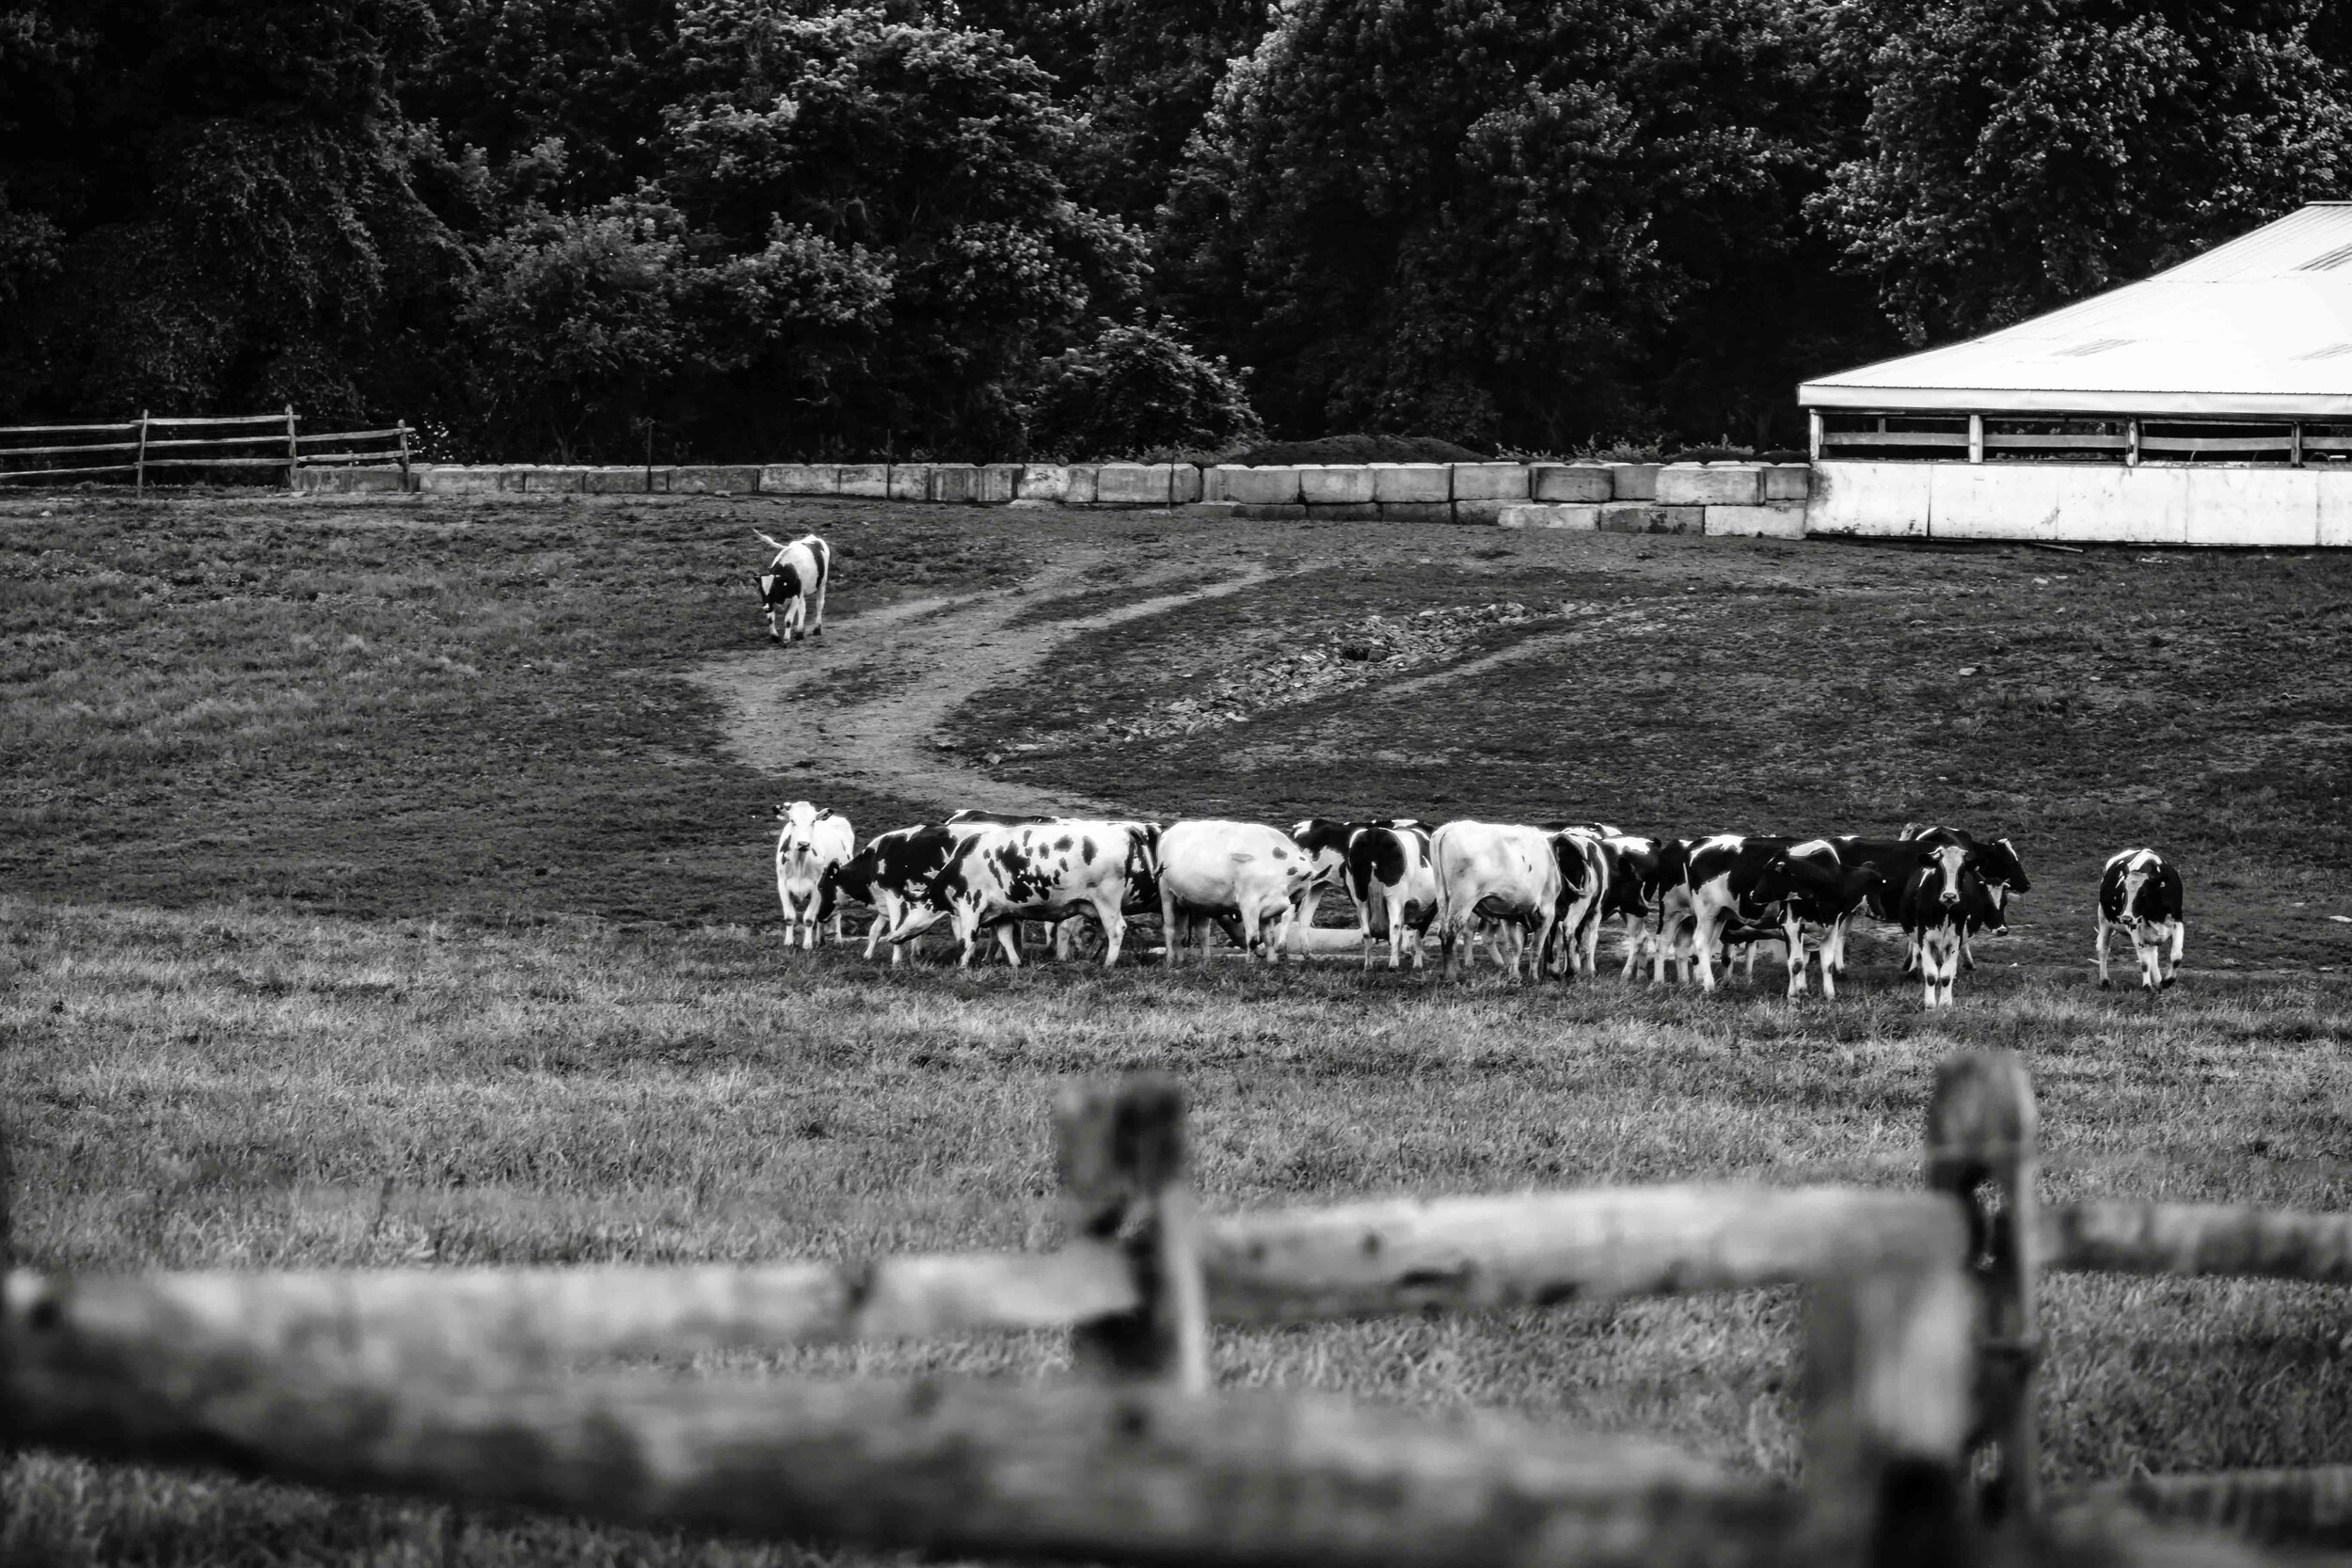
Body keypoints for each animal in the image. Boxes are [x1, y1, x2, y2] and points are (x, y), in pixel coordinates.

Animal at [771, 803, 856, 949]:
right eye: (792, 821)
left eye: (813, 821)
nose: (803, 844)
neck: (800, 863)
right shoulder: (783, 884)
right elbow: (789, 917)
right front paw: (789, 943)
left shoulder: (817, 887)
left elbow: (809, 919)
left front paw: (807, 945)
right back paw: (819, 940)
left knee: (836, 913)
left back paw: (837, 940)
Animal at [884, 822, 1157, 968]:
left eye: (905, 910)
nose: (891, 937)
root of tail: (1125, 830)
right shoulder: (1002, 912)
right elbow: (1005, 938)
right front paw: (1015, 963)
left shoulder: (971, 904)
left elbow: (968, 938)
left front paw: (962, 965)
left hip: (1106, 901)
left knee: (1116, 929)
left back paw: (1108, 964)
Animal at [1430, 822, 1562, 982]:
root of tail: (1448, 828)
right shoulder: (1547, 912)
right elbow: (1536, 946)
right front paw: (1534, 978)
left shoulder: (1510, 914)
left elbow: (1515, 946)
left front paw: (1514, 976)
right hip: (1462, 901)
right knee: (1450, 934)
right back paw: (1451, 977)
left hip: (1443, 899)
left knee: (1443, 934)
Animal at [2098, 846, 2183, 991]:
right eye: (2124, 891)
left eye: (2143, 893)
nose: (2126, 918)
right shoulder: (2135, 927)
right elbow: (2144, 962)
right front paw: (2147, 986)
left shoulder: (2177, 920)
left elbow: (2176, 956)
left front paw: (2167, 981)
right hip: (2104, 919)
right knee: (2103, 947)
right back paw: (2104, 981)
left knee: (2153, 954)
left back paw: (2158, 982)